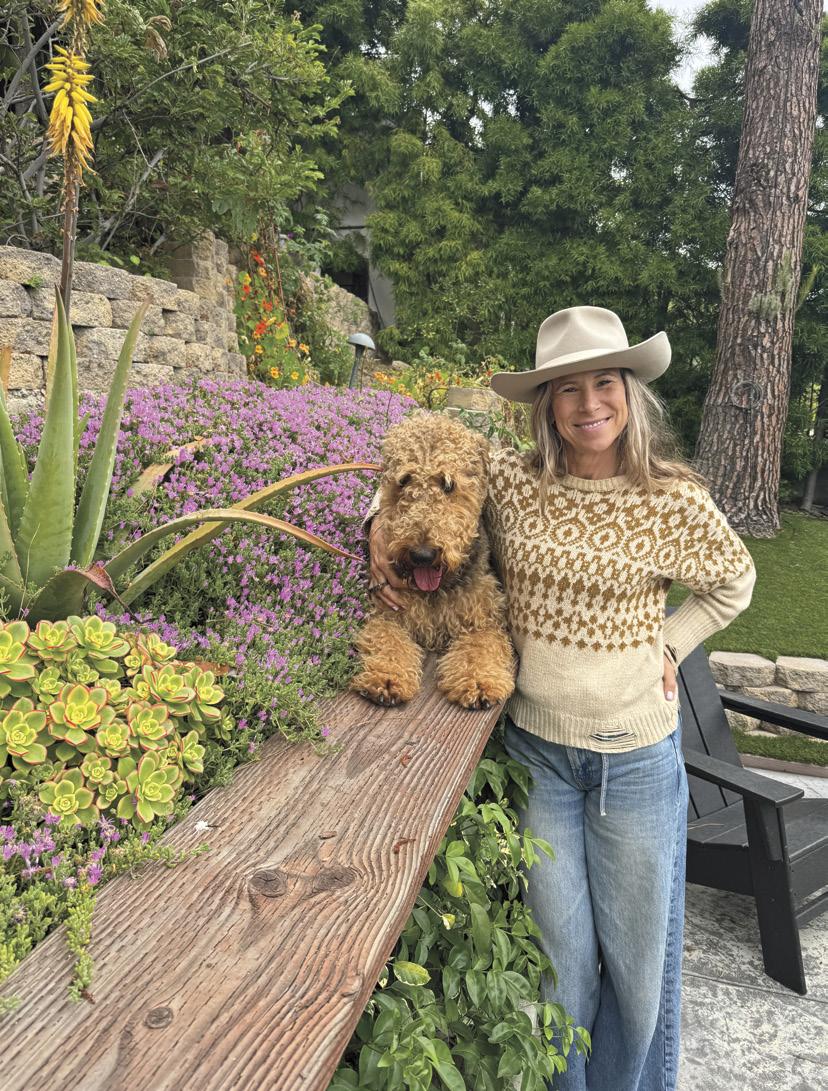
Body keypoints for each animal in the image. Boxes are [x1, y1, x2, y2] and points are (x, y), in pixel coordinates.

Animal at [351, 412, 515, 710]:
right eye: (404, 480)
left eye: (448, 484)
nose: (422, 555)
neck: (436, 592)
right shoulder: (388, 616)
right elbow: (389, 642)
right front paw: (387, 678)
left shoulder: (484, 621)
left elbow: (479, 648)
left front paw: (478, 682)